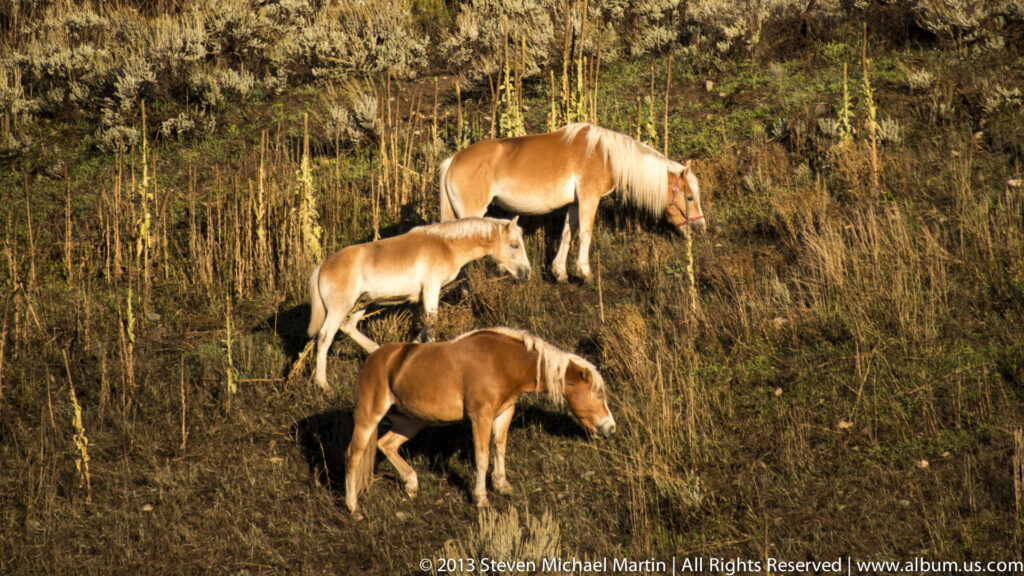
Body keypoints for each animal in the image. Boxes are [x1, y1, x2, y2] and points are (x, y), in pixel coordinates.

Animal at [306, 217, 531, 391]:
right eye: (514, 245)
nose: (526, 273)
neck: (446, 246)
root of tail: (323, 267)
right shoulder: (432, 288)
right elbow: (431, 325)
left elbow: (425, 326)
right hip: (340, 308)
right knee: (325, 337)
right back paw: (322, 383)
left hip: (361, 304)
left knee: (348, 327)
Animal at [343, 327, 615, 519]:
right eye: (598, 394)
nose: (610, 427)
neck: (501, 361)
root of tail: (372, 360)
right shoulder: (480, 417)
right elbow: (482, 457)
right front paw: (481, 499)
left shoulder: (504, 412)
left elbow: (499, 448)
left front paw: (503, 485)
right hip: (368, 417)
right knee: (353, 456)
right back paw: (353, 508)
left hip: (411, 422)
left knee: (386, 445)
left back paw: (411, 484)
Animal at [438, 122, 707, 282]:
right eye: (690, 197)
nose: (700, 228)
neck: (604, 154)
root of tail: (453, 160)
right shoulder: (589, 196)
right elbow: (586, 232)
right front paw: (584, 272)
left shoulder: (575, 203)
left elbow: (568, 231)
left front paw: (560, 272)